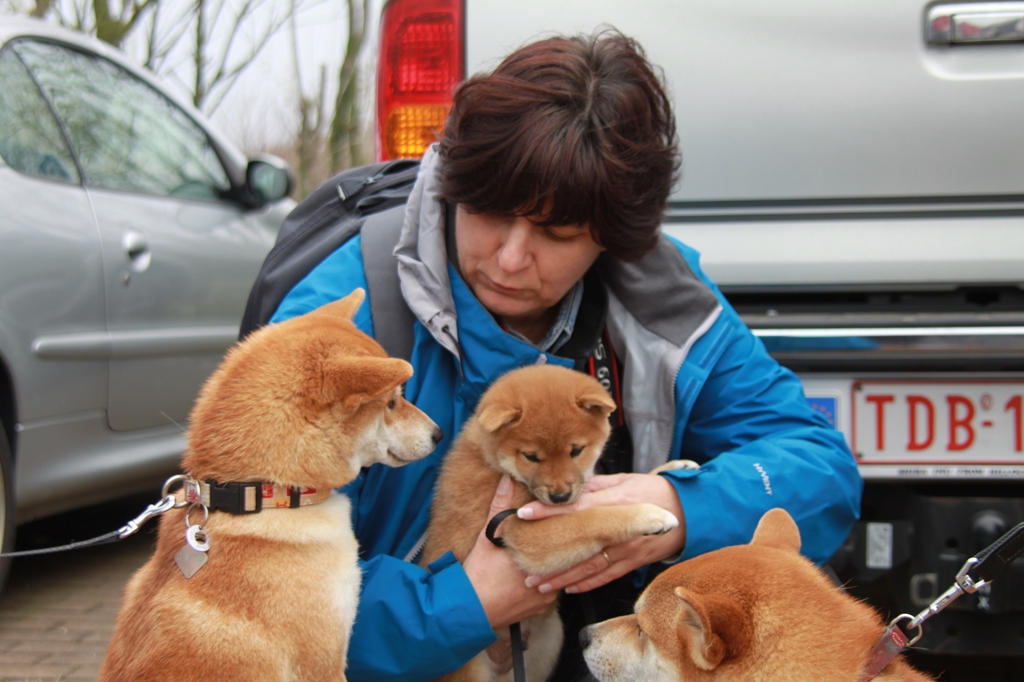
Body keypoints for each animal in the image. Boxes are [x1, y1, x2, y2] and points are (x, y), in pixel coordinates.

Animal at [419, 364, 684, 679]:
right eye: (531, 456)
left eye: (576, 450)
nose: (560, 496)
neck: (494, 463)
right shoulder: (519, 531)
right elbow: (594, 516)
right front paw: (650, 514)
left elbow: (621, 483)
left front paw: (674, 467)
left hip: (546, 644)